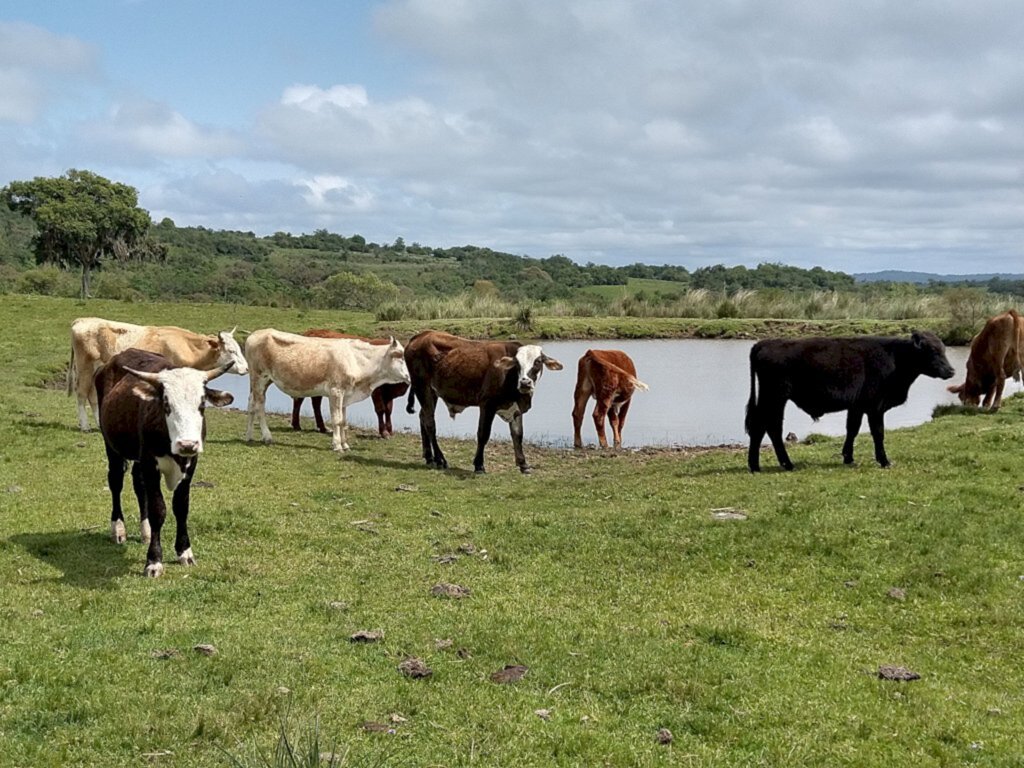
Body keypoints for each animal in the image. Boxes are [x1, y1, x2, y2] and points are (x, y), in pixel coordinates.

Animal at [94, 348, 234, 577]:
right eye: (166, 404)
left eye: (202, 404)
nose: (187, 444)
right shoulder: (150, 464)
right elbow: (158, 510)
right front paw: (154, 561)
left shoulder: (190, 465)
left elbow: (181, 507)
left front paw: (185, 552)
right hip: (111, 445)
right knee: (116, 481)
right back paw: (118, 529)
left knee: (138, 485)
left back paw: (146, 532)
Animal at [242, 329, 407, 450]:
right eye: (399, 355)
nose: (408, 376)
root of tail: (255, 334)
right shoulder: (336, 391)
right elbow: (337, 419)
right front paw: (337, 445)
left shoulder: (346, 394)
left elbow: (343, 420)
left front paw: (345, 444)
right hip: (260, 378)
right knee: (260, 406)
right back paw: (267, 436)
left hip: (260, 382)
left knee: (251, 404)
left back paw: (249, 435)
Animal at [401, 331, 565, 475]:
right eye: (518, 363)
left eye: (538, 362)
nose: (525, 383)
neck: (508, 375)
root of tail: (420, 335)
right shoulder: (487, 405)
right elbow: (483, 434)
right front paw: (479, 465)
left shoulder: (515, 408)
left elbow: (518, 434)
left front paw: (523, 464)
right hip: (423, 388)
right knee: (430, 423)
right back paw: (440, 460)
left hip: (430, 393)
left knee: (423, 417)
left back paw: (429, 457)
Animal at [745, 333, 958, 473]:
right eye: (932, 351)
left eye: (944, 349)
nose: (951, 371)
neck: (895, 358)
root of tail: (764, 343)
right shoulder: (875, 407)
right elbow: (878, 433)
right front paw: (884, 461)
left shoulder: (857, 406)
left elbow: (852, 429)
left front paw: (848, 457)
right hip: (774, 397)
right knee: (769, 427)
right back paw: (781, 465)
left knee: (763, 427)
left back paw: (758, 465)